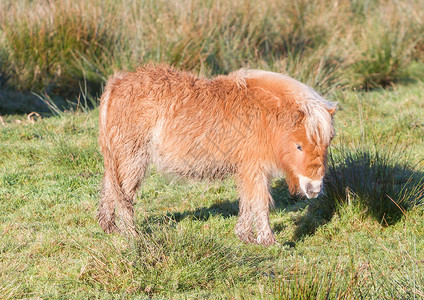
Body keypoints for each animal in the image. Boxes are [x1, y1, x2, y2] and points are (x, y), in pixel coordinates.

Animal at [97, 64, 336, 245]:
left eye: (327, 143)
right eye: (299, 146)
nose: (314, 189)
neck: (266, 113)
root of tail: (117, 84)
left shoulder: (250, 170)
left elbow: (248, 202)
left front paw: (245, 236)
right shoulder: (255, 168)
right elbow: (260, 203)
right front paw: (268, 241)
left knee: (110, 189)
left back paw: (110, 228)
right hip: (132, 158)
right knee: (124, 197)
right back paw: (133, 235)